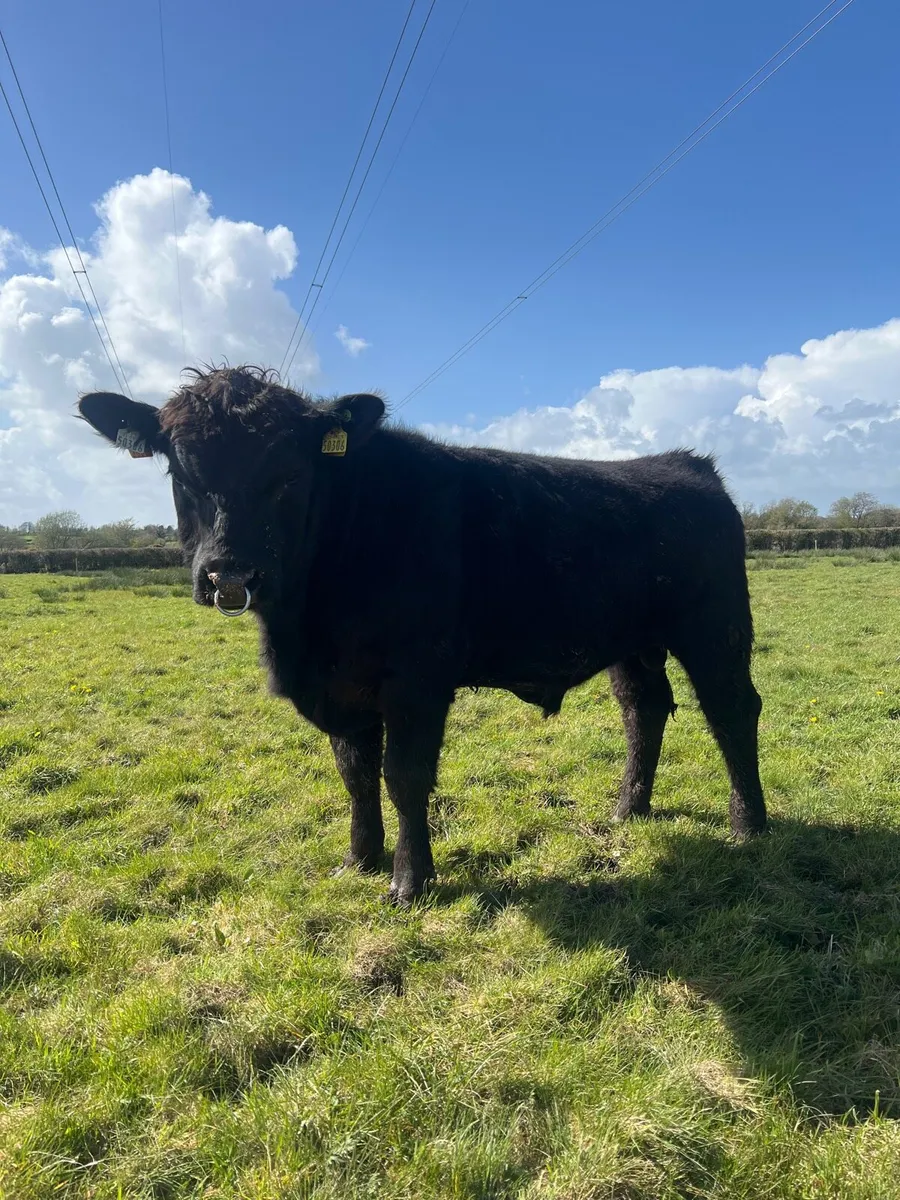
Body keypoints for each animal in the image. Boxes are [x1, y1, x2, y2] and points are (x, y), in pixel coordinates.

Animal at [77, 366, 766, 905]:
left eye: (290, 474)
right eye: (181, 470)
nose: (230, 573)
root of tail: (685, 464)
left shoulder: (417, 682)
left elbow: (403, 776)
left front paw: (410, 881)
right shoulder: (343, 692)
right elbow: (355, 774)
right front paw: (358, 861)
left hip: (717, 628)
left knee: (733, 710)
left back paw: (748, 826)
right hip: (632, 643)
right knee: (643, 710)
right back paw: (630, 809)